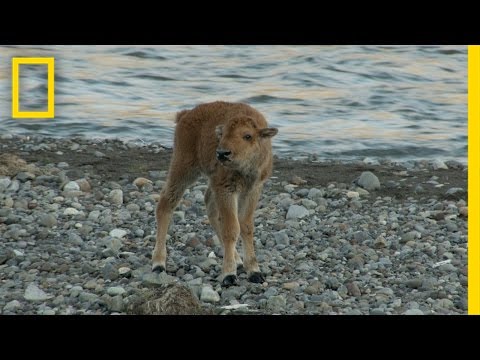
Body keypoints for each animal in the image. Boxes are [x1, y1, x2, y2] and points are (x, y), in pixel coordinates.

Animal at [152, 101, 280, 286]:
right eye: (223, 134)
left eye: (248, 136)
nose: (222, 153)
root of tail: (185, 115)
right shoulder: (225, 189)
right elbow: (231, 228)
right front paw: (229, 275)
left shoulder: (252, 190)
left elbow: (246, 226)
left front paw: (254, 271)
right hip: (184, 168)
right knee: (166, 204)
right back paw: (158, 263)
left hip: (207, 180)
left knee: (209, 206)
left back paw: (238, 261)